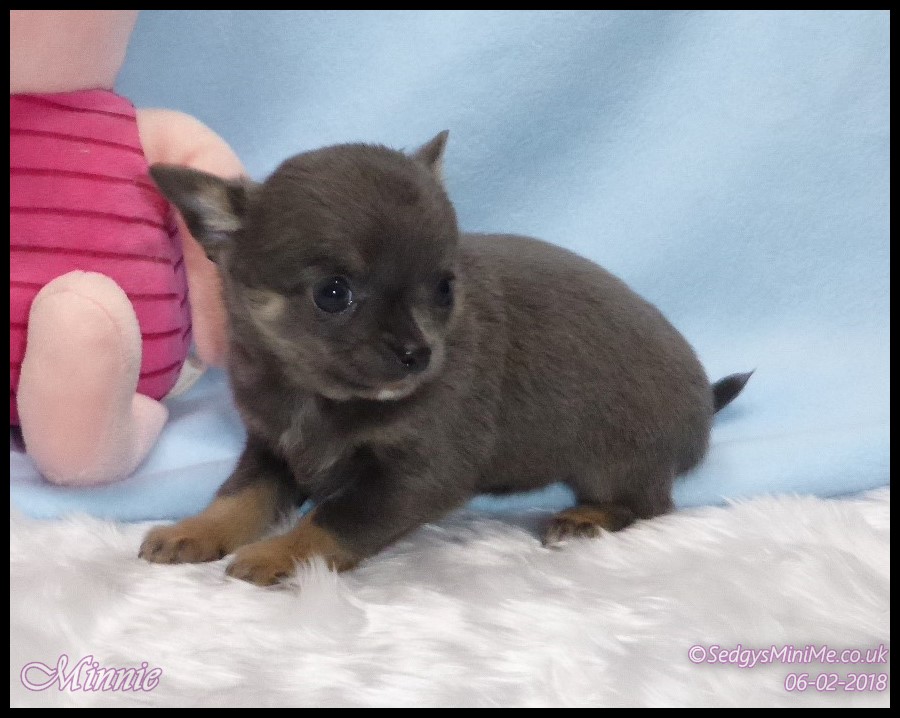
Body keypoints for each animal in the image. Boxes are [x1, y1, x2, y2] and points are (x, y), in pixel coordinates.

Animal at [140, 131, 751, 585]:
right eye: (333, 294)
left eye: (443, 288)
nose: (418, 353)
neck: (314, 394)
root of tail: (705, 406)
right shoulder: (272, 450)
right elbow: (240, 496)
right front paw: (194, 529)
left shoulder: (415, 475)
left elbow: (335, 521)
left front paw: (279, 554)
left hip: (615, 461)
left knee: (649, 504)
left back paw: (585, 518)